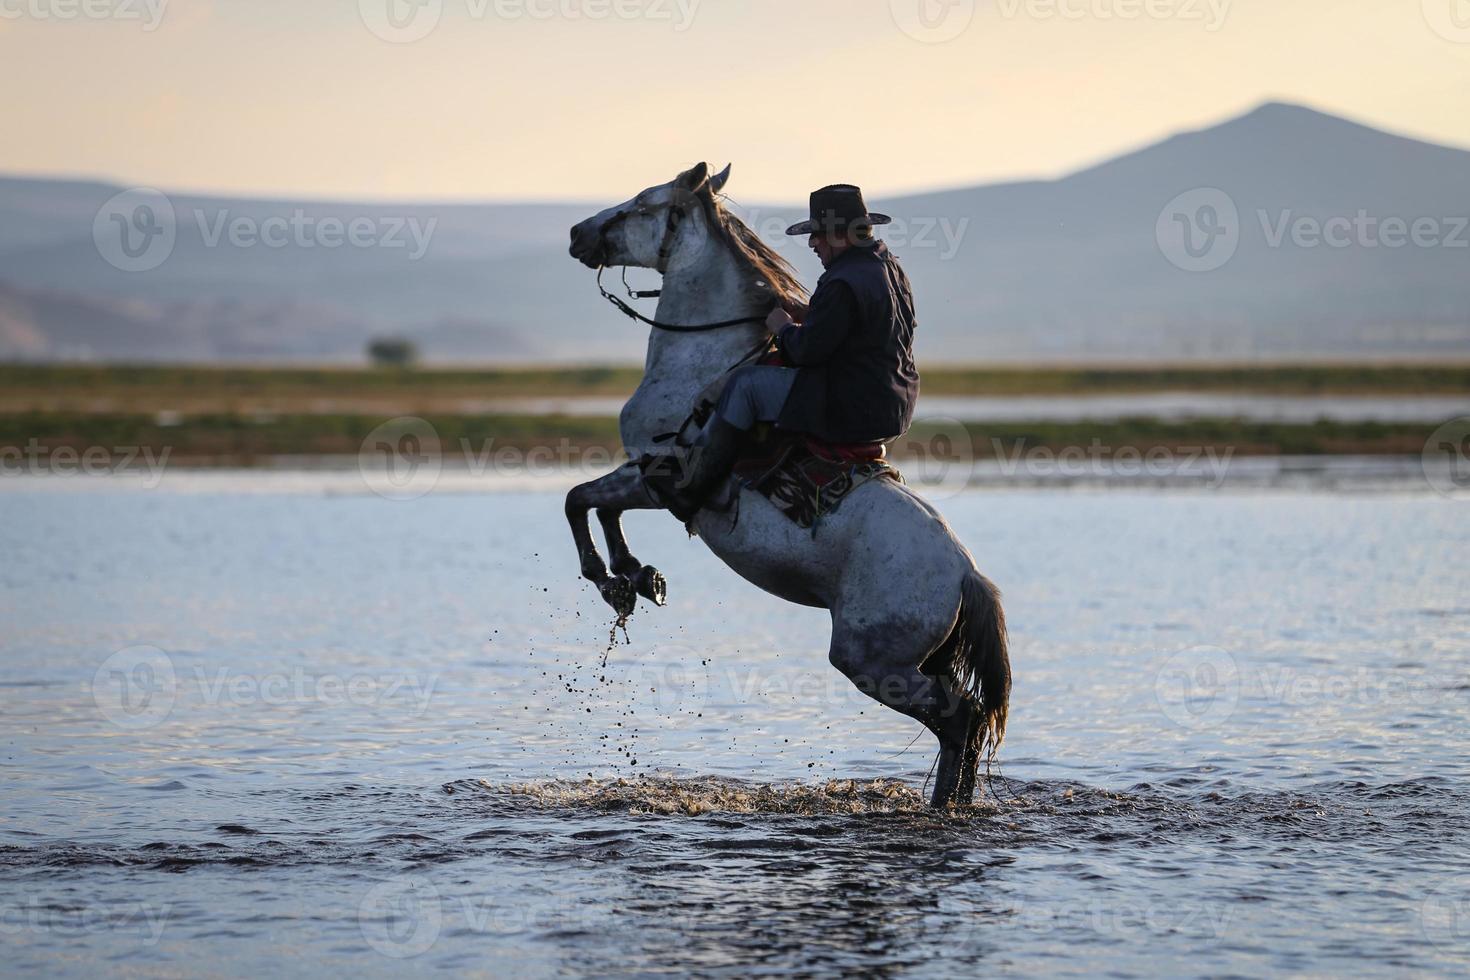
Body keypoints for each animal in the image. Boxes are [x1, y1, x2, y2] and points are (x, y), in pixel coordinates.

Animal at [564, 159, 1011, 805]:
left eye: (642, 204)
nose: (578, 234)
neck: (704, 357)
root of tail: (966, 576)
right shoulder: (641, 475)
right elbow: (597, 507)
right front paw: (638, 578)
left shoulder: (658, 478)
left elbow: (579, 501)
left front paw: (613, 581)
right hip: (912, 663)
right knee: (965, 724)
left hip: (872, 662)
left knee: (961, 719)